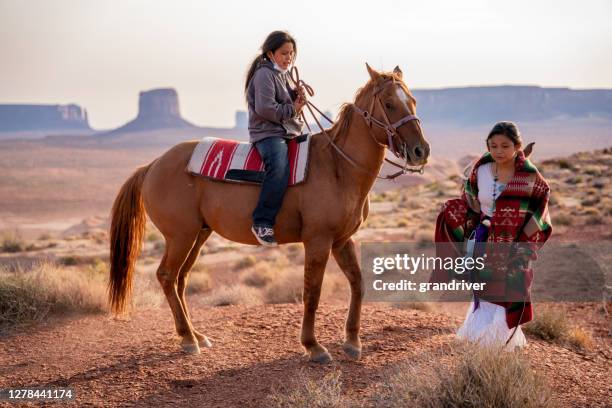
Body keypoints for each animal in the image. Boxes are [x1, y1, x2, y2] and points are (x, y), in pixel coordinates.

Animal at [107, 64, 430, 364]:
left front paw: (352, 342)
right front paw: (313, 346)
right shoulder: (318, 240)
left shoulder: (341, 240)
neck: (338, 166)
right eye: (389, 103)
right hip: (180, 236)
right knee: (166, 276)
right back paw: (187, 339)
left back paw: (196, 334)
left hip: (198, 234)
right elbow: (312, 291)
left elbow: (357, 284)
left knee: (180, 278)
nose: (420, 151)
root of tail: (152, 165)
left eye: (413, 100)